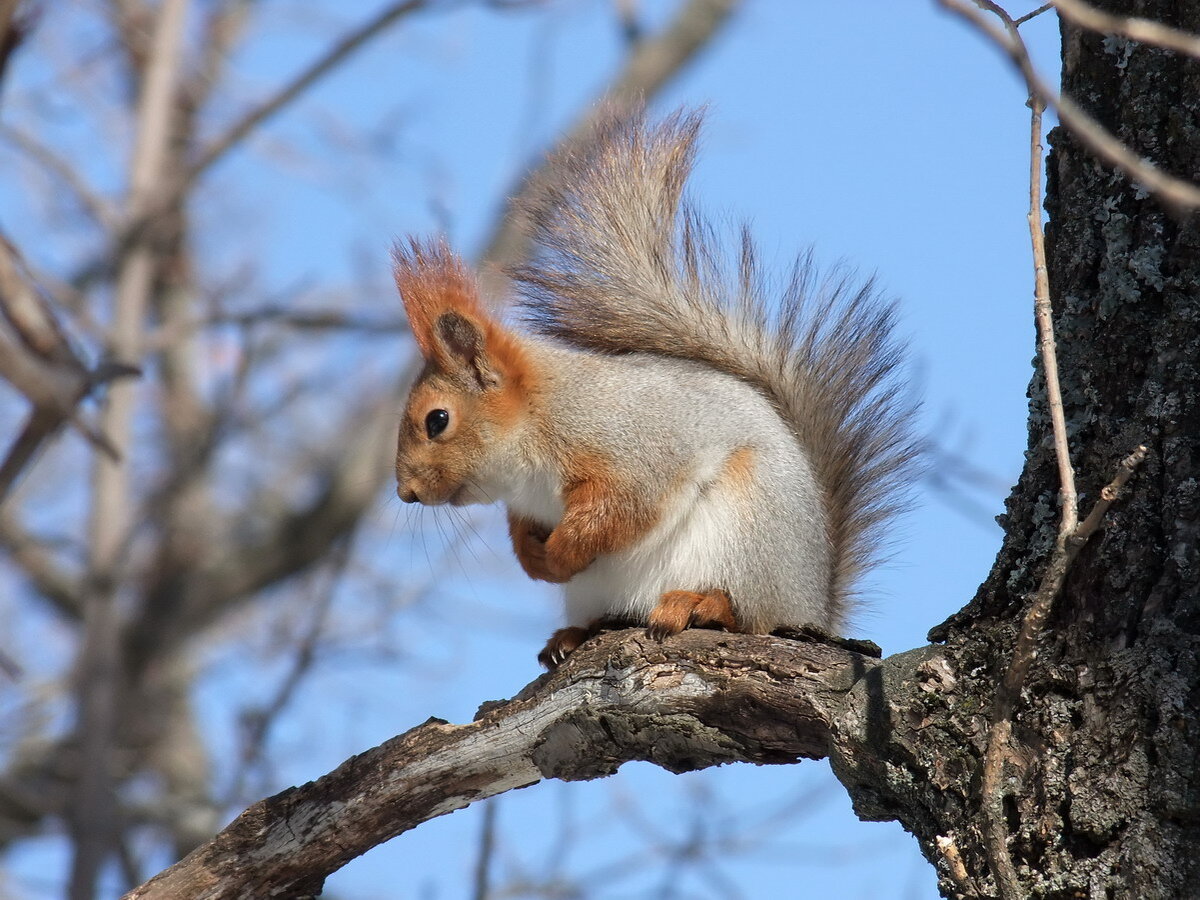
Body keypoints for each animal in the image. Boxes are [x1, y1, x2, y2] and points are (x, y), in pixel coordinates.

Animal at [388, 109, 912, 672]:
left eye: (437, 420)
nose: (406, 493)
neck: (536, 425)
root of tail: (812, 605)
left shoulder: (632, 447)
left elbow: (621, 508)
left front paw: (561, 552)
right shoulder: (529, 503)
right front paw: (534, 561)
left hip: (751, 538)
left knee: (749, 615)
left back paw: (700, 604)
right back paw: (570, 636)